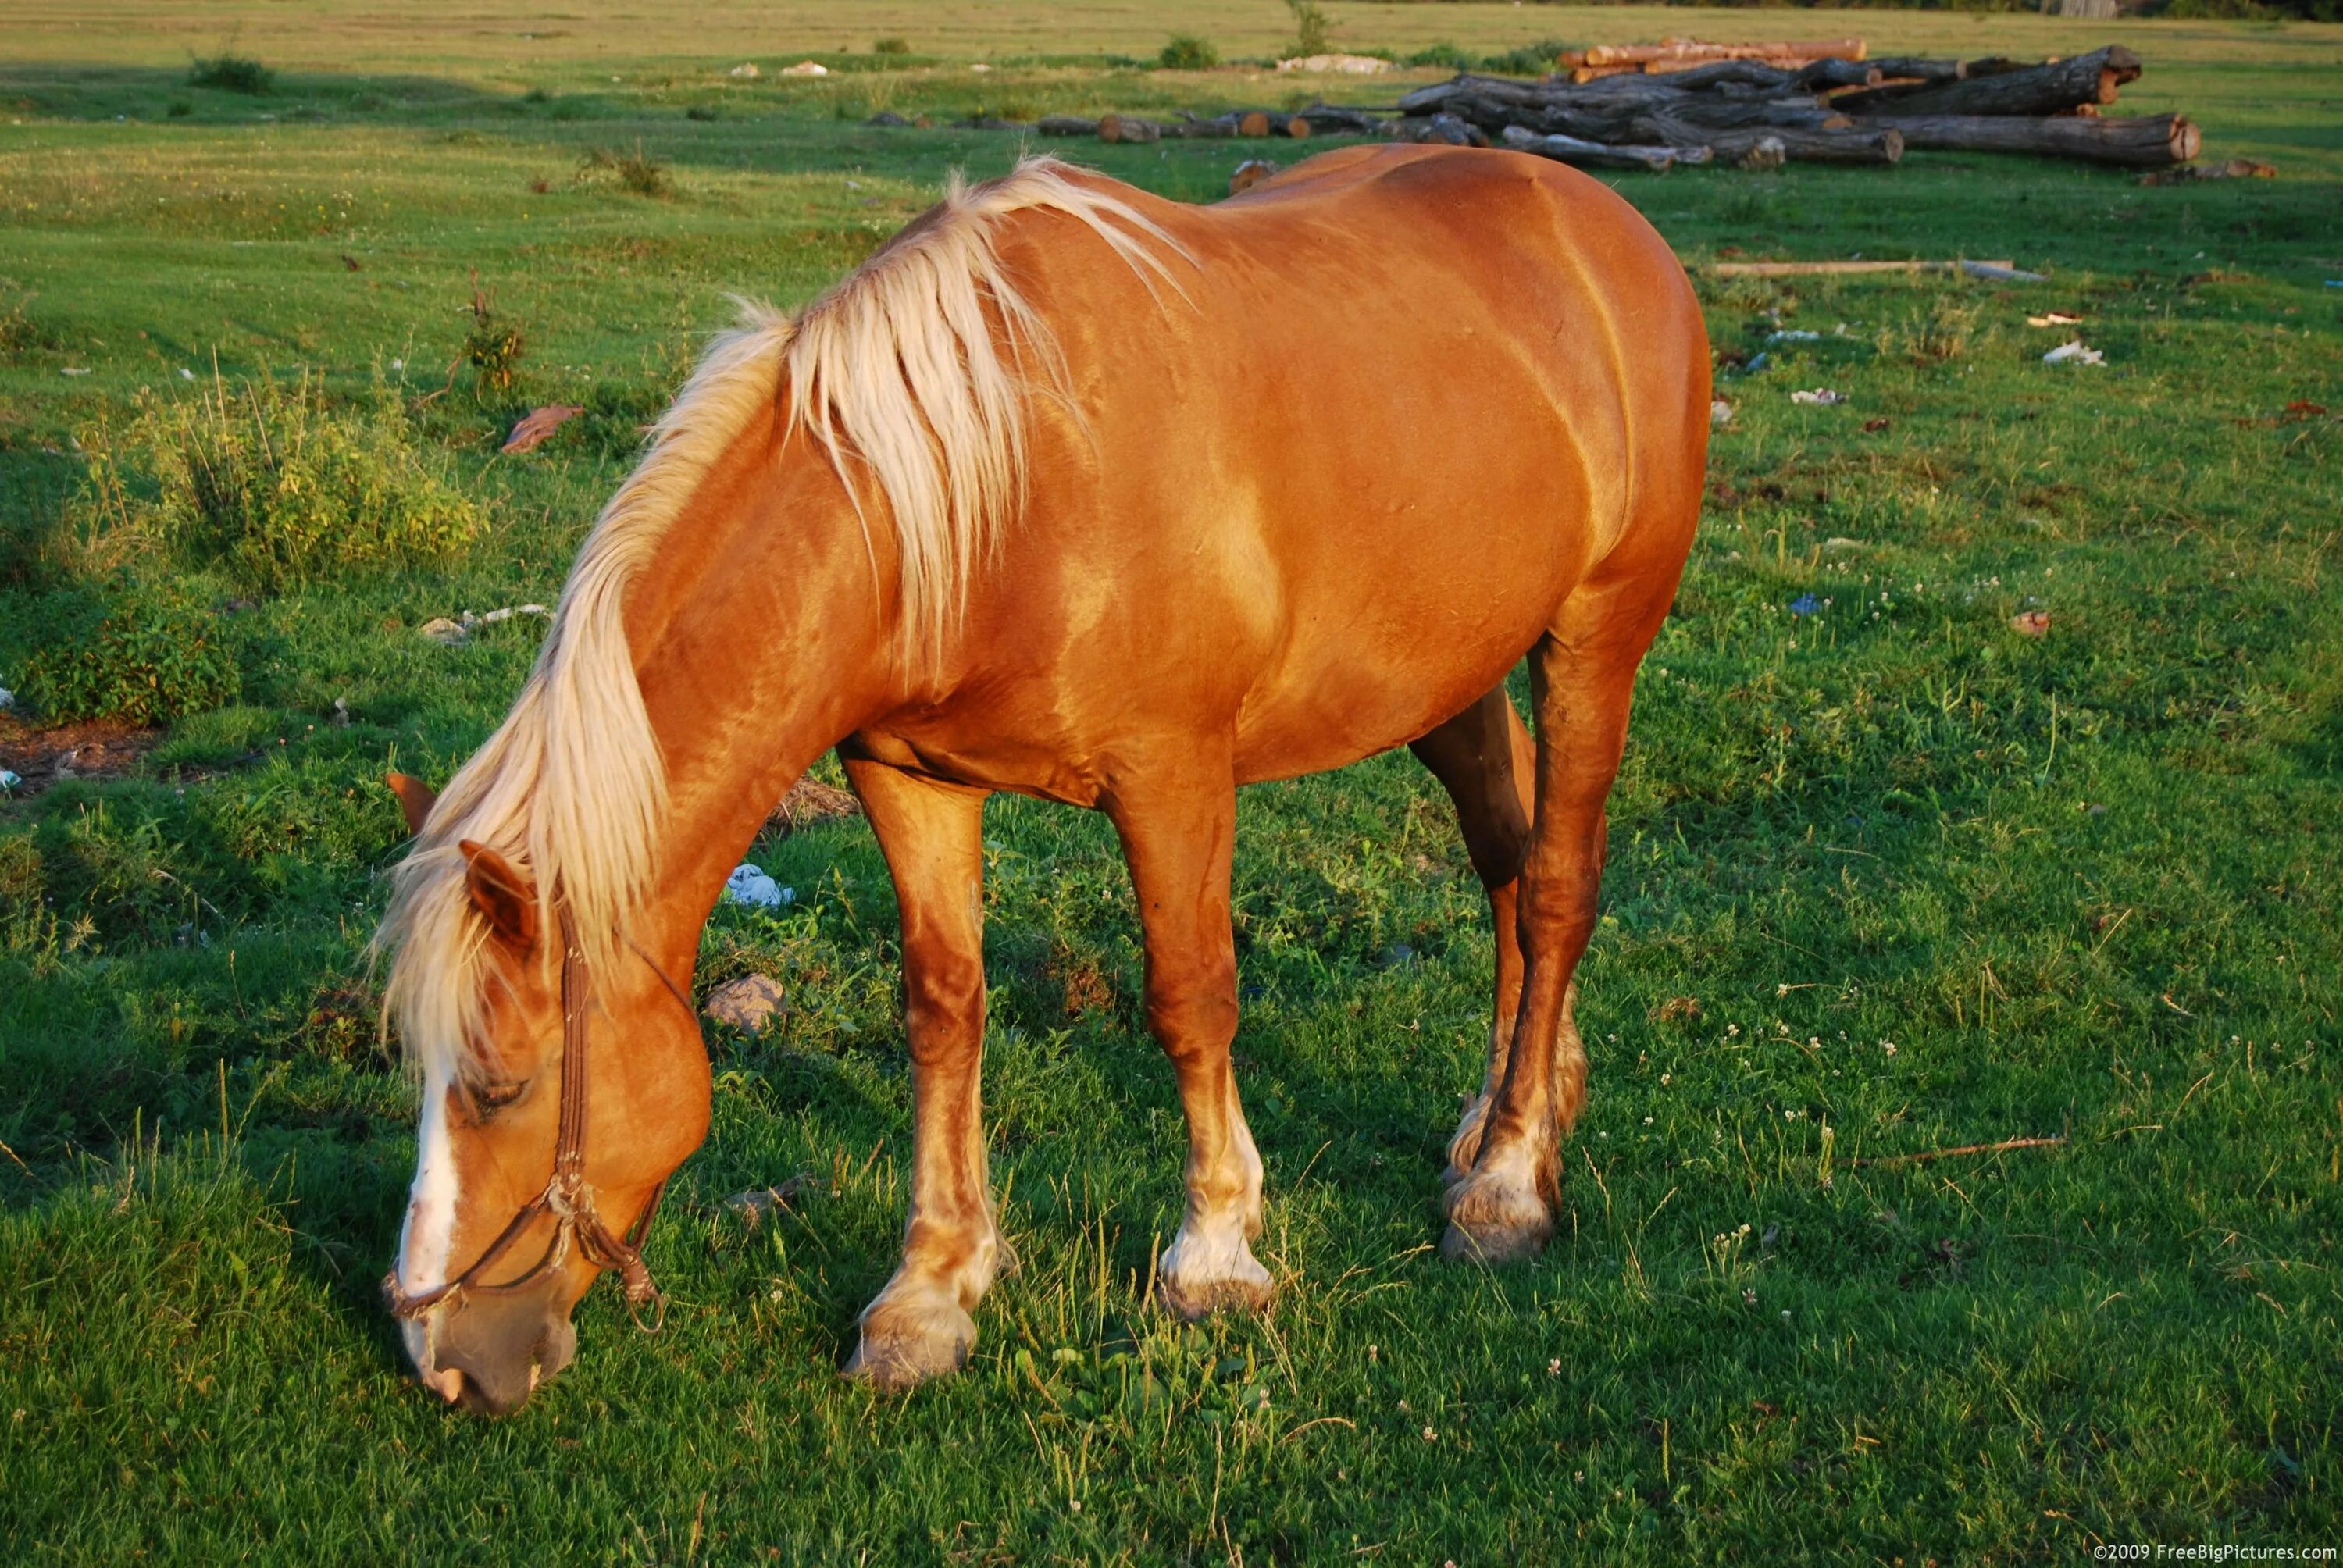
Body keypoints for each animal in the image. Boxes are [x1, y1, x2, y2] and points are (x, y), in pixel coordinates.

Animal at [375, 146, 1715, 1415]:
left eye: (498, 1087)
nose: (439, 1359)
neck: (995, 475)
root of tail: (1607, 228)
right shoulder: (904, 778)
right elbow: (943, 1012)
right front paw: (928, 1292)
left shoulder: (1171, 775)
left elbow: (1190, 998)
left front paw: (1214, 1253)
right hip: (1449, 677)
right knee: (1508, 867)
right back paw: (1509, 1115)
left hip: (1593, 641)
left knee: (1557, 886)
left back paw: (1508, 1186)